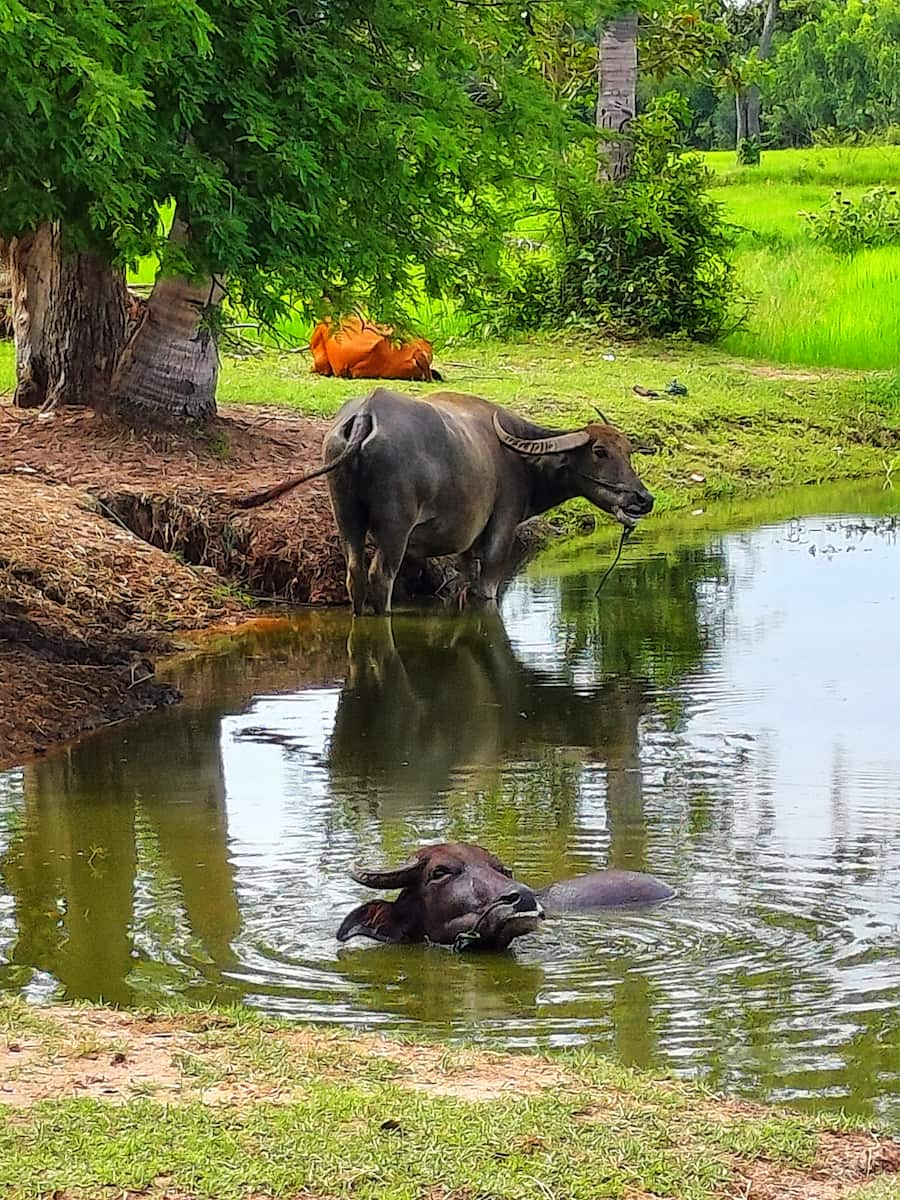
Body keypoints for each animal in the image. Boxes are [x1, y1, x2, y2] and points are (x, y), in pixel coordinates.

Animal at [234, 388, 657, 614]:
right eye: (600, 452)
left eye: (629, 451)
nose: (643, 499)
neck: (520, 458)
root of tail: (368, 414)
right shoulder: (500, 530)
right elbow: (486, 588)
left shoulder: (465, 546)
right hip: (395, 525)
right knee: (381, 575)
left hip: (345, 515)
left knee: (355, 571)